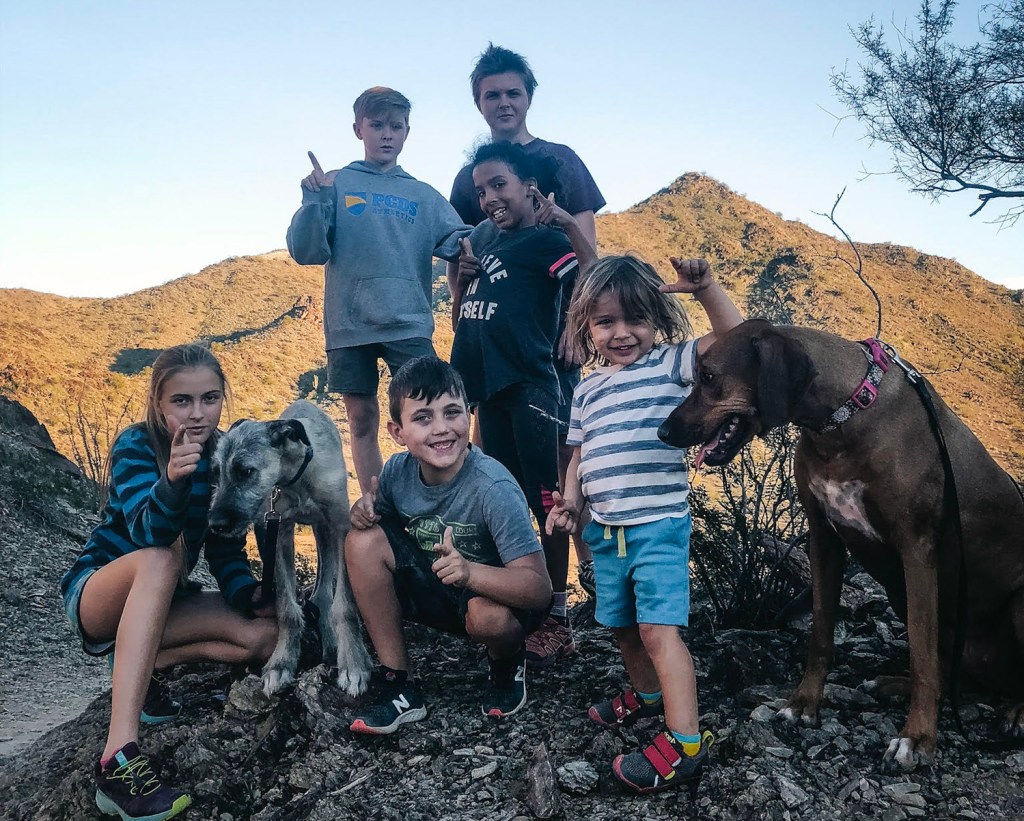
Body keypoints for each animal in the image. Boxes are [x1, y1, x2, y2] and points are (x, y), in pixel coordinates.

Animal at [655, 317, 1024, 769]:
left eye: (708, 377)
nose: (663, 431)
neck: (842, 420)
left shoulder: (917, 550)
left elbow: (921, 654)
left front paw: (918, 737)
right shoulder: (824, 537)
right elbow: (821, 633)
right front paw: (804, 704)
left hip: (1006, 602)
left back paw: (1015, 712)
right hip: (903, 596)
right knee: (952, 673)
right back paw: (893, 684)